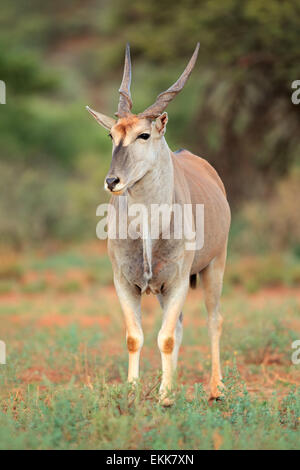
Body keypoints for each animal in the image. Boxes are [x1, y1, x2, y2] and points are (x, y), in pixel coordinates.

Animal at [86, 43, 230, 404]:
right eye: (111, 134)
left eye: (144, 134)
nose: (112, 181)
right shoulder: (125, 283)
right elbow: (135, 336)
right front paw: (135, 391)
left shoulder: (178, 281)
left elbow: (164, 337)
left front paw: (164, 398)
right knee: (178, 325)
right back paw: (176, 383)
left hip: (215, 266)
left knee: (213, 319)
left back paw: (216, 388)